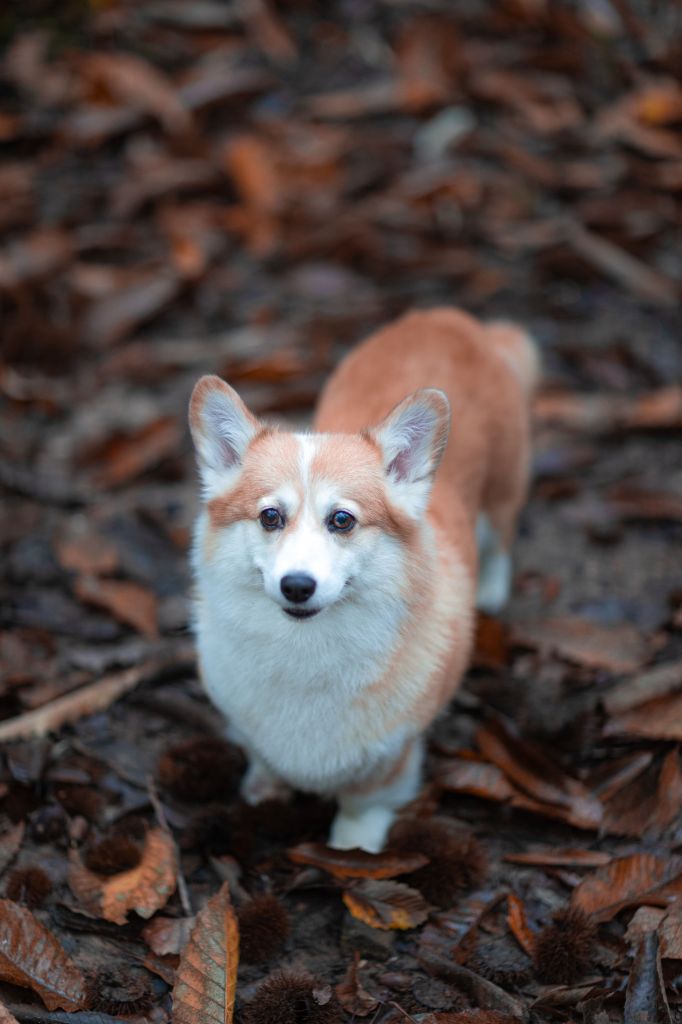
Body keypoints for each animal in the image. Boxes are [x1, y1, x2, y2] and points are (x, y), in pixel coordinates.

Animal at [187, 307, 536, 851]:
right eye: (270, 517)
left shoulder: (392, 753)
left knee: (500, 540)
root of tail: (450, 319)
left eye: (342, 520)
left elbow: (364, 799)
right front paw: (264, 790)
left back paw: (491, 591)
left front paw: (352, 847)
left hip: (502, 492)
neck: (305, 653)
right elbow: (261, 754)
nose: (297, 586)